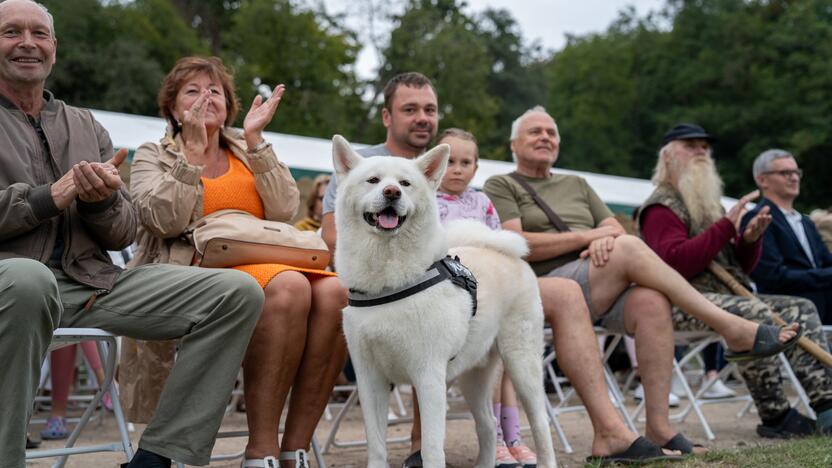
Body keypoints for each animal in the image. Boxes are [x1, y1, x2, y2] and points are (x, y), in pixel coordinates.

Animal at [332, 135, 560, 468]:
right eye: (373, 180)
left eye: (405, 183)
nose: (392, 192)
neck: (387, 280)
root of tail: (508, 253)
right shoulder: (369, 378)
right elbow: (376, 445)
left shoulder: (428, 376)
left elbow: (430, 447)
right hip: (473, 375)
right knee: (488, 424)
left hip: (522, 364)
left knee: (541, 426)